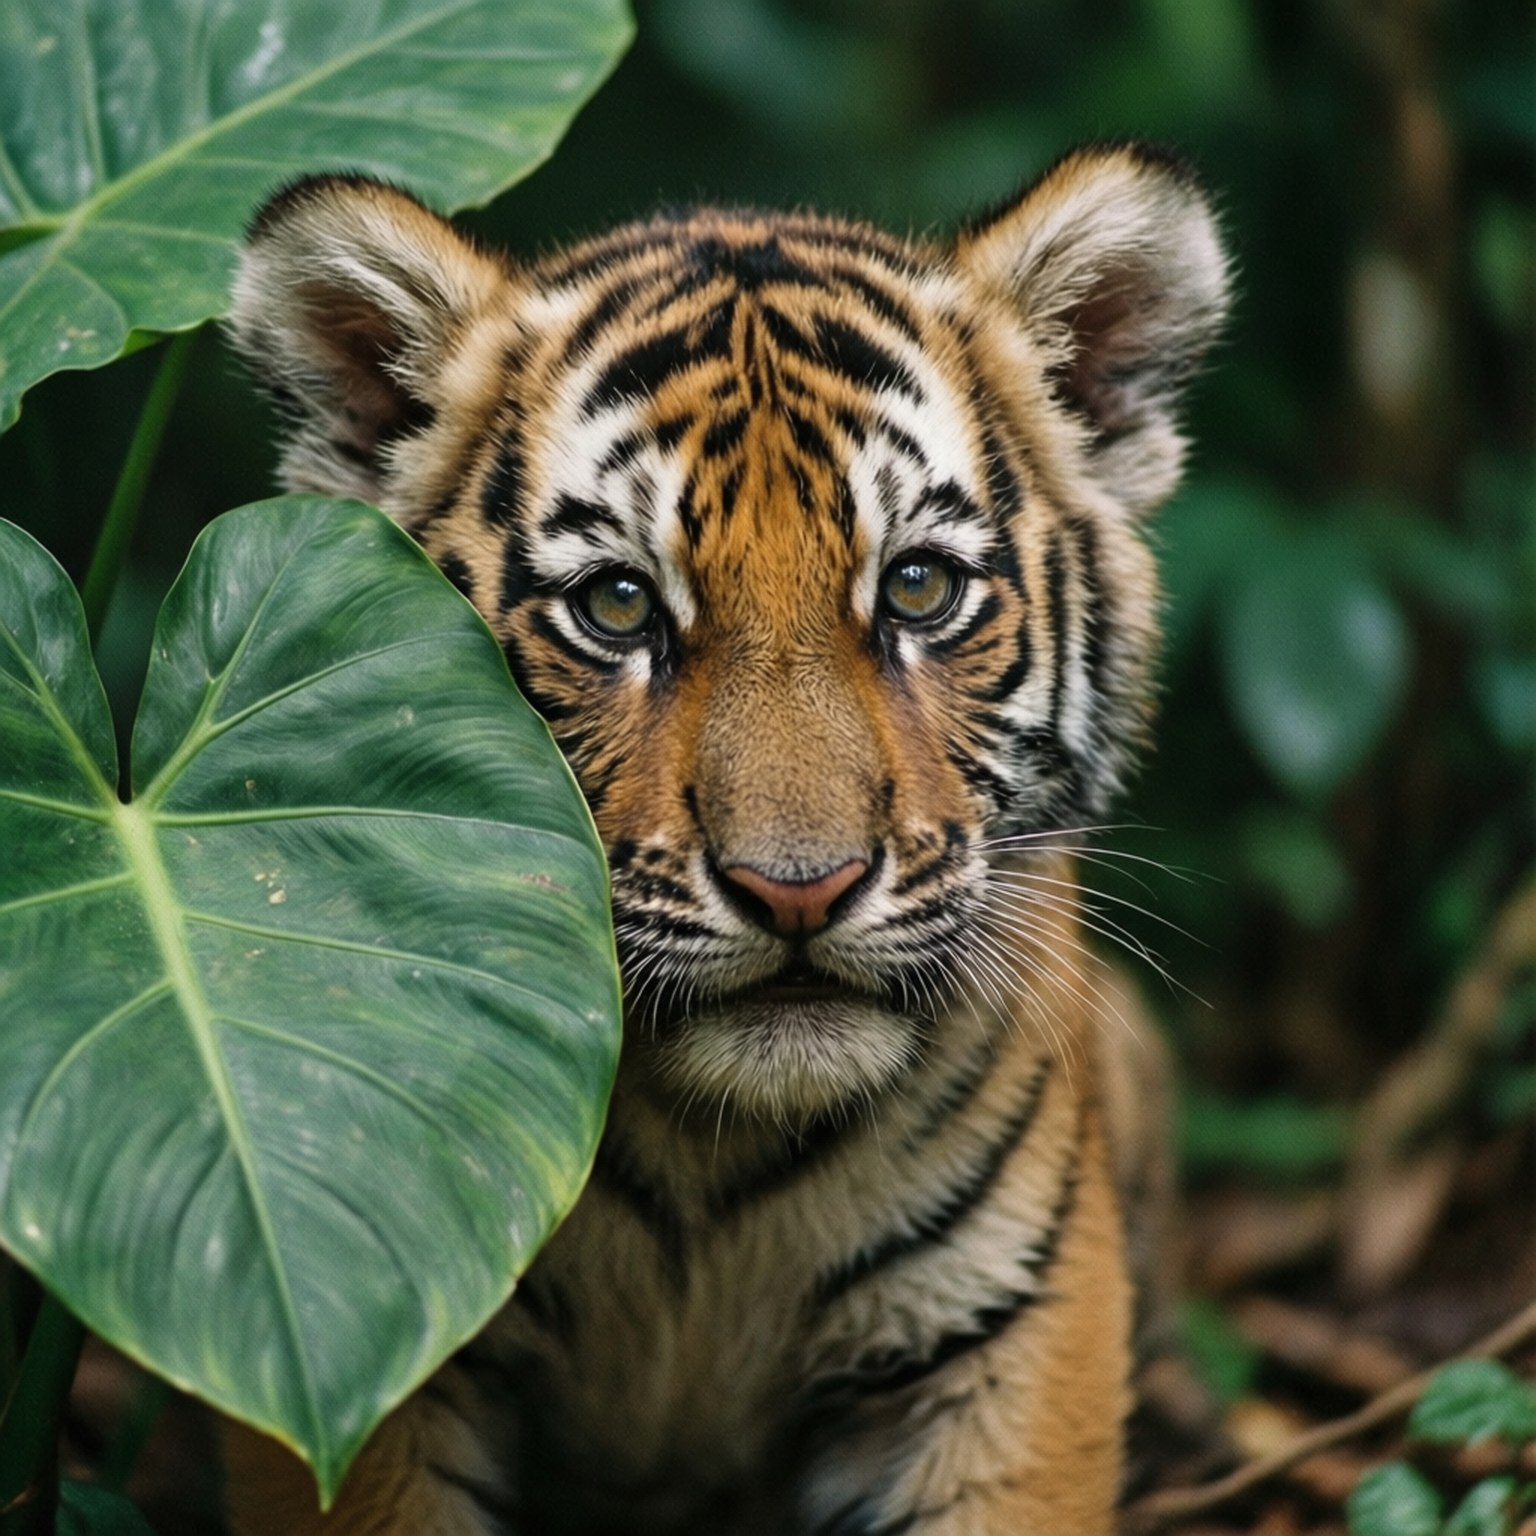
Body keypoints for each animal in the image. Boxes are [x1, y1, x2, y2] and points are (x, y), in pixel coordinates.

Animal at [223, 141, 1230, 1536]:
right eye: (616, 605)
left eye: (918, 587)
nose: (798, 890)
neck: (714, 1162)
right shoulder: (360, 1314)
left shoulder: (999, 1333)